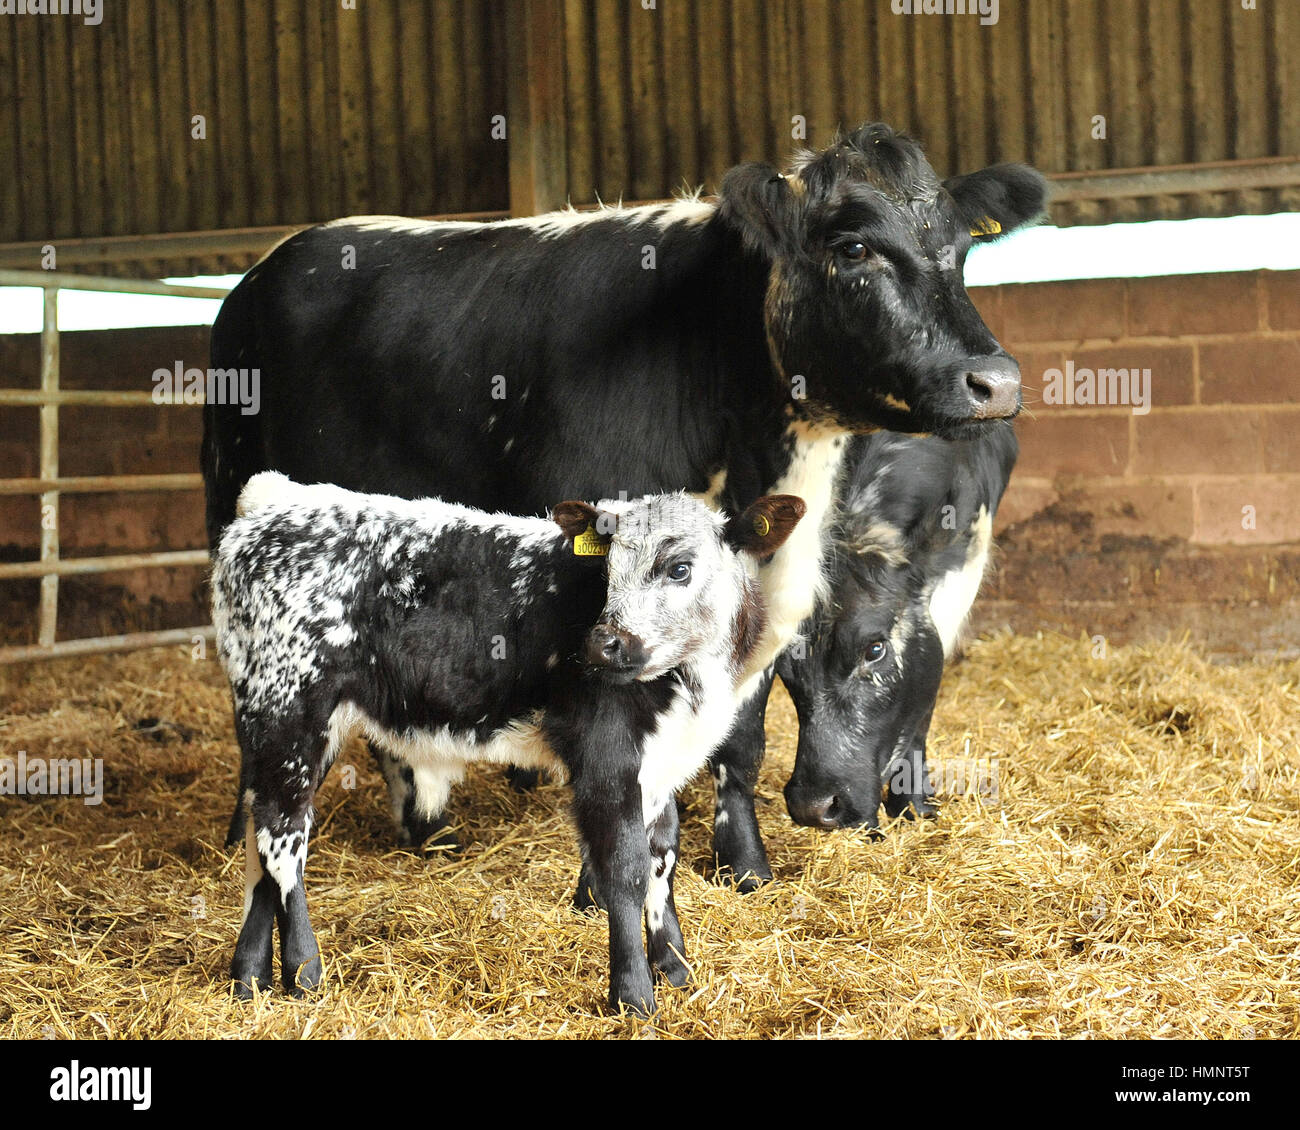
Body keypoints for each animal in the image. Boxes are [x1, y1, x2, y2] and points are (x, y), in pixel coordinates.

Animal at [213, 468, 800, 1014]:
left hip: (291, 727)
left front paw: (674, 968)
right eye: (608, 569)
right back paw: (304, 972)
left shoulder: (660, 766)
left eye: (680, 568)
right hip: (288, 709)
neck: (693, 683)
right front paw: (633, 994)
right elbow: (625, 871)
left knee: (260, 839)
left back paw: (250, 977)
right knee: (282, 842)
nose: (604, 644)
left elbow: (663, 860)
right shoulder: (607, 763)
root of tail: (277, 499)